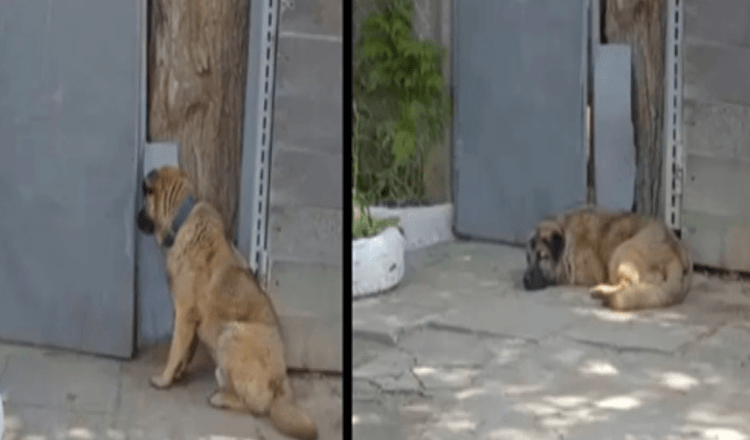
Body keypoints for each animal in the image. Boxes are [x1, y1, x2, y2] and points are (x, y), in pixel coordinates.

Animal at [137, 166, 318, 440]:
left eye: (144, 195)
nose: (136, 218)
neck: (181, 219)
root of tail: (283, 379)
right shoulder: (190, 320)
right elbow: (186, 350)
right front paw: (178, 373)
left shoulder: (184, 313)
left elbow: (175, 349)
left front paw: (165, 379)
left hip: (231, 333)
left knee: (258, 405)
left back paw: (221, 399)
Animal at [524, 208, 696, 312]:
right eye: (528, 258)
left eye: (542, 257)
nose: (525, 281)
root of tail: (677, 252)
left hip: (622, 251)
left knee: (627, 285)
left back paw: (601, 291)